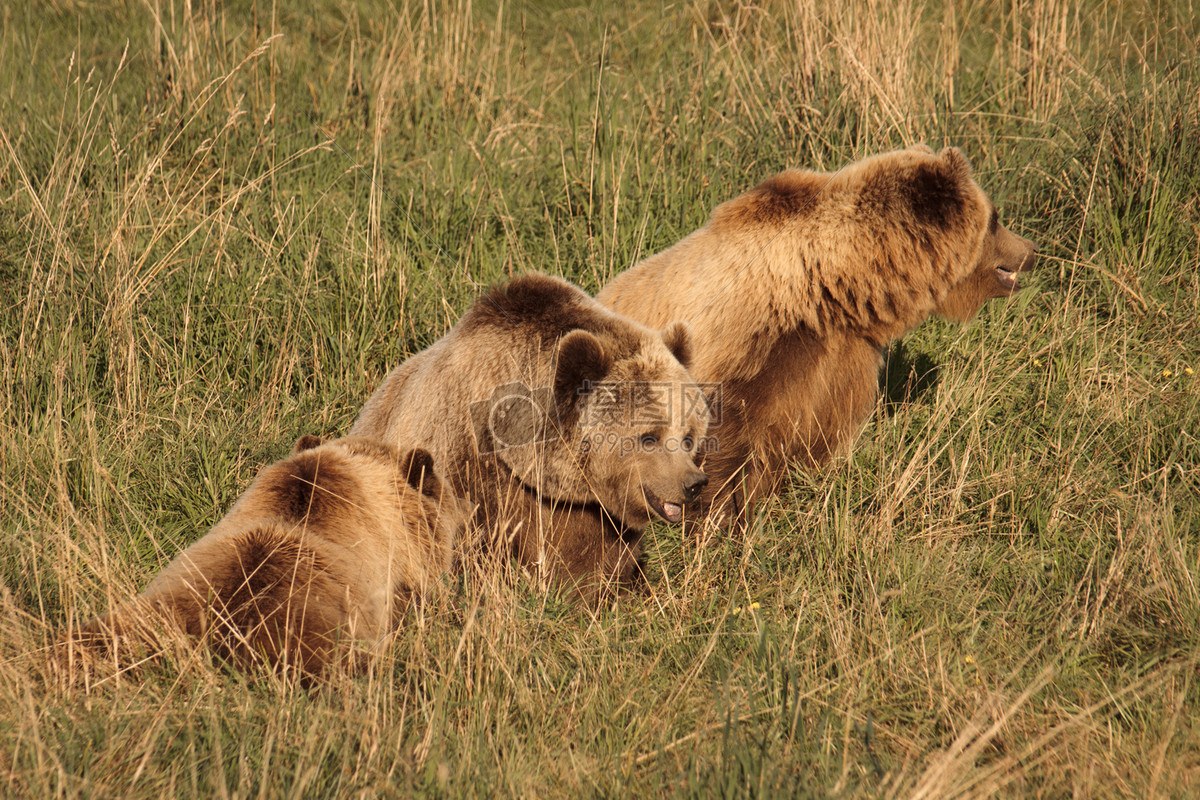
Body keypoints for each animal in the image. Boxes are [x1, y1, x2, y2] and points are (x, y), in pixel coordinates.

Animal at [351, 273, 711, 598]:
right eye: (649, 437)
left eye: (688, 436)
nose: (693, 483)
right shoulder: (468, 467)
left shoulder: (593, 515)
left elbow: (593, 564)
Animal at [597, 145, 1038, 524]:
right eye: (996, 219)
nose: (1031, 251)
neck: (827, 282)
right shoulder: (747, 347)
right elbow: (721, 437)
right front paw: (721, 515)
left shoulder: (836, 356)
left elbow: (820, 431)